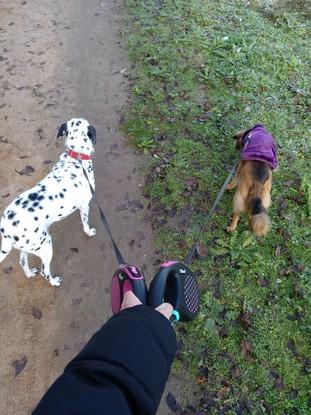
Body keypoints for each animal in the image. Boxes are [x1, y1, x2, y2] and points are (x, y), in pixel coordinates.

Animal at [0, 117, 97, 286]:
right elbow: (85, 224)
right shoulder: (85, 207)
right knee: (44, 272)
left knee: (23, 263)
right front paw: (89, 232)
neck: (75, 157)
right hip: (45, 246)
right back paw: (54, 282)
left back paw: (30, 274)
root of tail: (5, 230)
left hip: (26, 247)